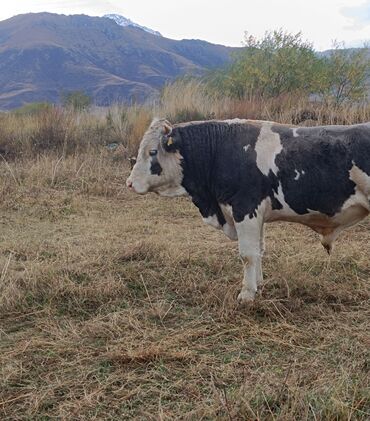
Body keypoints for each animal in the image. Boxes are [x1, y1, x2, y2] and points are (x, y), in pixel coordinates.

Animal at [126, 117, 370, 302]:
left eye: (153, 151)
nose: (129, 183)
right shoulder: (257, 214)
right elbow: (259, 250)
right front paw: (259, 284)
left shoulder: (245, 208)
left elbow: (247, 254)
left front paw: (247, 293)